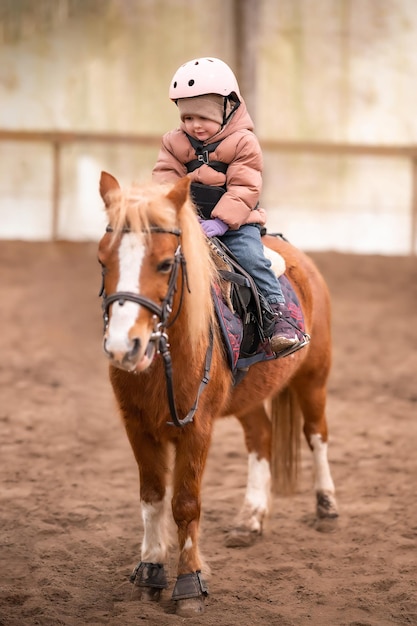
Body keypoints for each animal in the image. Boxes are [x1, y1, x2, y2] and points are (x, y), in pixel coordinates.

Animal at [96, 171, 334, 616]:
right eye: (104, 261)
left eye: (165, 263)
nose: (123, 347)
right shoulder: (137, 427)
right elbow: (152, 498)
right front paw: (149, 573)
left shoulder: (197, 427)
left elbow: (185, 504)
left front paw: (189, 585)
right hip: (250, 397)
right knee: (261, 436)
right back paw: (250, 520)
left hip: (313, 379)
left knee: (317, 436)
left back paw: (327, 508)